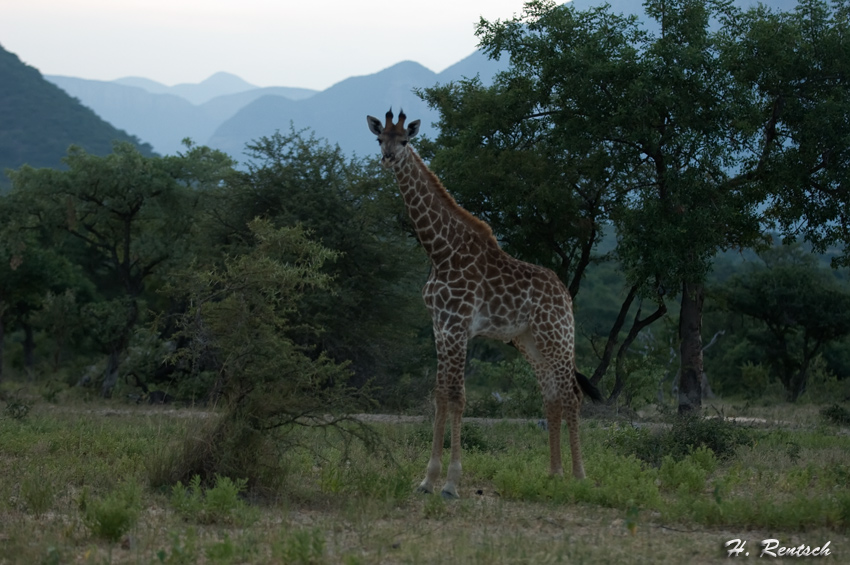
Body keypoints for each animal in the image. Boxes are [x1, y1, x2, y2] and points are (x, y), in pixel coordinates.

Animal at [366, 108, 604, 496]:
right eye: (379, 138)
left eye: (404, 140)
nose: (387, 159)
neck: (440, 250)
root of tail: (564, 293)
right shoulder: (440, 327)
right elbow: (440, 395)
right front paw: (427, 480)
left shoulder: (458, 326)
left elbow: (458, 396)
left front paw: (451, 483)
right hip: (528, 341)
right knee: (552, 397)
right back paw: (554, 474)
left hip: (556, 336)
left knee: (572, 396)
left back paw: (580, 477)